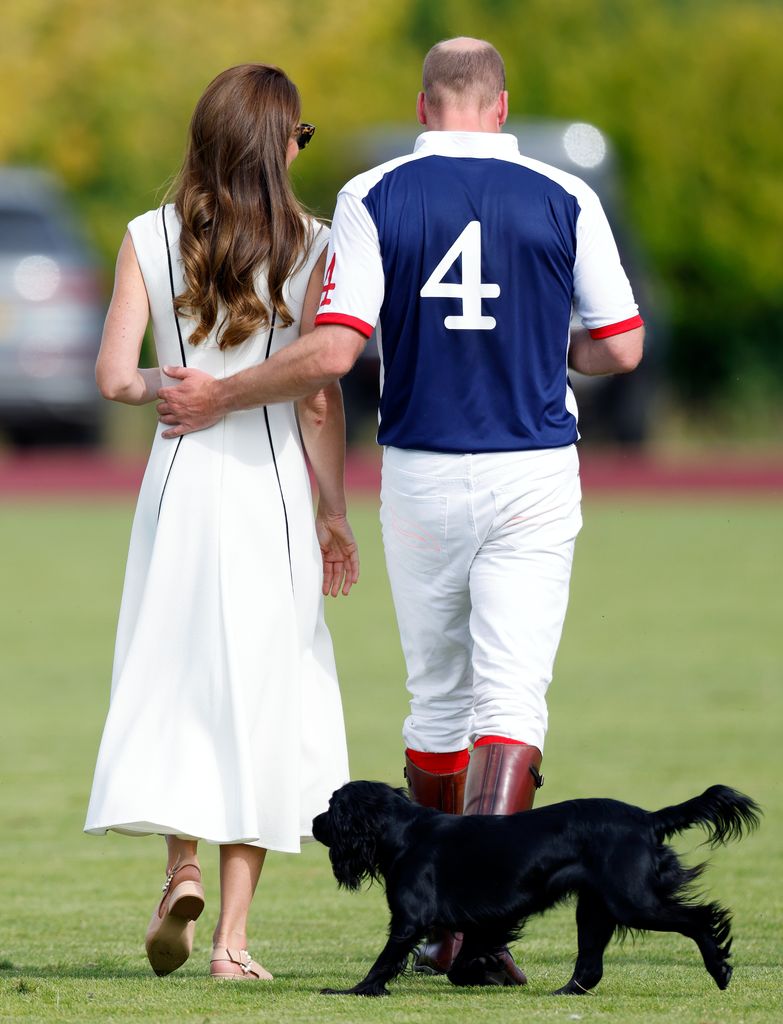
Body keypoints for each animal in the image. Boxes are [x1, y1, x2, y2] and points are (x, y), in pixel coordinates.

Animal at [311, 778, 757, 995]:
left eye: (332, 806)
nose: (313, 823)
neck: (403, 832)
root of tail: (647, 818)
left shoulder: (408, 920)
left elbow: (384, 960)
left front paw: (353, 990)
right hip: (594, 908)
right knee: (589, 965)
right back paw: (564, 993)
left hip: (633, 901)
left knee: (700, 919)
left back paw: (720, 970)